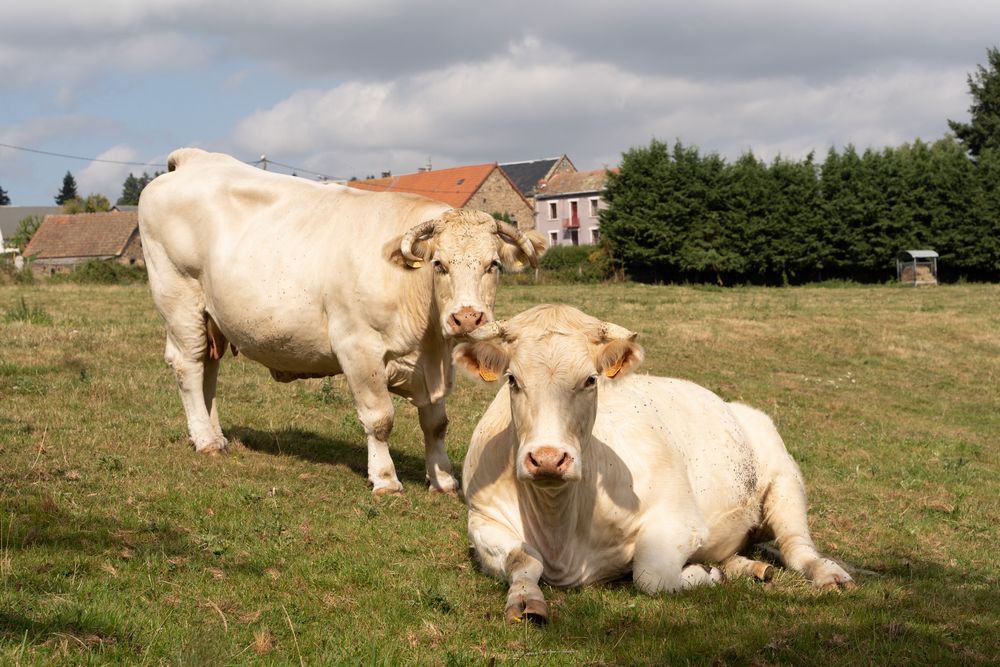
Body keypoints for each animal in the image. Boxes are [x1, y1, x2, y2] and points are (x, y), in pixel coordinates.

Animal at [138, 150, 544, 496]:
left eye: (493, 264)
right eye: (439, 264)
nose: (467, 317)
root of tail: (194, 160)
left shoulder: (436, 364)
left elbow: (436, 423)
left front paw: (443, 480)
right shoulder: (358, 347)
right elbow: (380, 418)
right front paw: (385, 480)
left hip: (213, 319)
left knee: (208, 369)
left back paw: (214, 436)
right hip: (180, 300)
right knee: (189, 366)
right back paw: (205, 441)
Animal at [458, 306, 856, 624]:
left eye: (590, 379)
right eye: (513, 380)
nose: (547, 459)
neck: (560, 528)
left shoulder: (678, 518)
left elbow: (652, 575)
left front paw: (703, 575)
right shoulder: (484, 518)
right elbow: (522, 561)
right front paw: (525, 599)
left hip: (785, 480)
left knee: (797, 545)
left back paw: (828, 575)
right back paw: (749, 567)